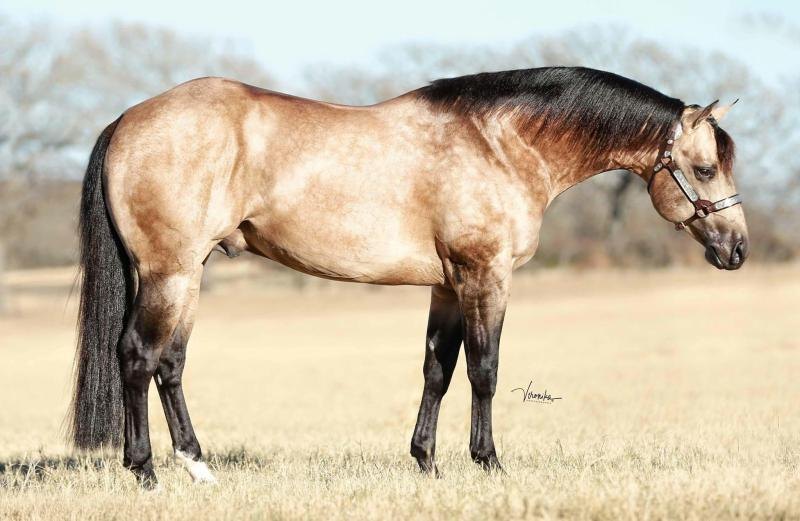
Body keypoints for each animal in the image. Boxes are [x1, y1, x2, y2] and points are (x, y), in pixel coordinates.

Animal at [67, 66, 748, 488]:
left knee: (170, 364)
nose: (737, 249)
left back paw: (198, 467)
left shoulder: (447, 286)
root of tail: (127, 120)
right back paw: (146, 471)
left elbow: (437, 370)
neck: (499, 144)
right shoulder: (485, 277)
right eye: (705, 168)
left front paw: (427, 463)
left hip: (184, 276)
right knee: (138, 357)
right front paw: (488, 462)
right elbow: (483, 370)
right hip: (169, 273)